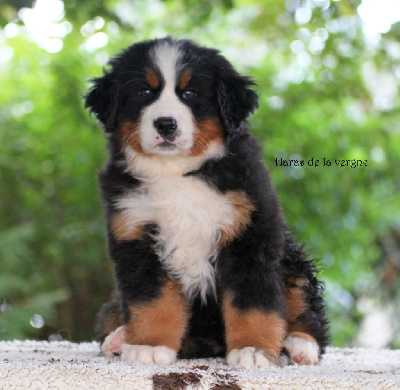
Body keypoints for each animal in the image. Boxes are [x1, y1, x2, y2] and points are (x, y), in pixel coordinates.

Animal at [85, 37, 328, 368]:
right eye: (145, 92)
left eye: (189, 94)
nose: (166, 124)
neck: (177, 173)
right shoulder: (136, 236)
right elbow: (152, 301)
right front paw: (149, 344)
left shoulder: (251, 237)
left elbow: (253, 303)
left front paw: (252, 349)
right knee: (114, 313)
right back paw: (120, 338)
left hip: (294, 263)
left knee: (306, 308)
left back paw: (300, 344)